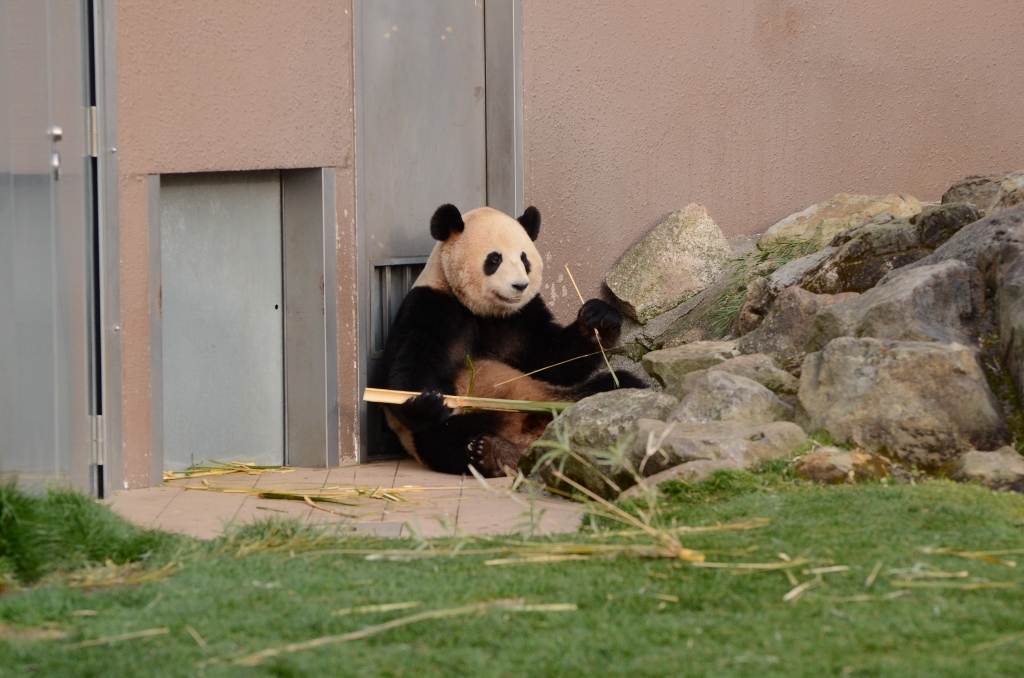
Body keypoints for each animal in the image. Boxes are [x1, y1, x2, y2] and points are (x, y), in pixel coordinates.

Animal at [372, 202, 643, 477]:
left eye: (524, 259)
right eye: (494, 259)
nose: (520, 285)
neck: (485, 311)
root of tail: (526, 436)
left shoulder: (521, 317)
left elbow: (553, 361)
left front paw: (598, 319)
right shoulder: (431, 306)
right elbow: (407, 367)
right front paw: (424, 403)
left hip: (561, 396)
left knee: (619, 388)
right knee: (443, 436)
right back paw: (490, 453)